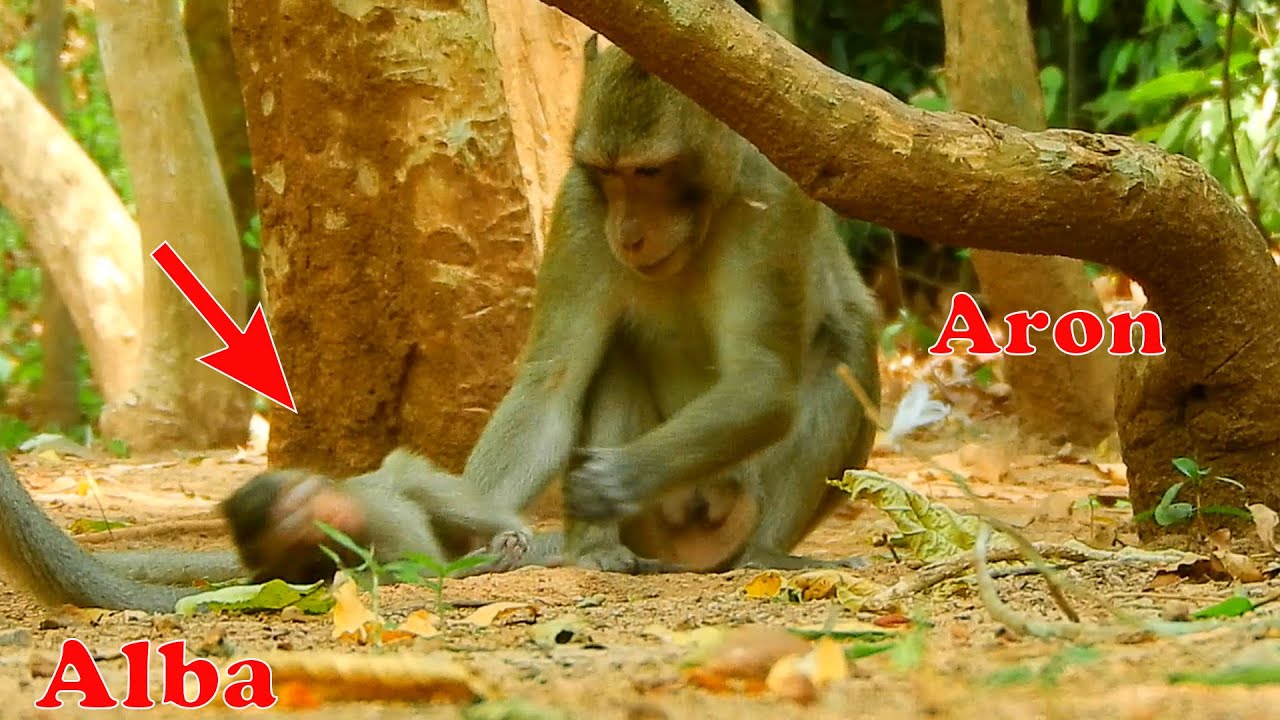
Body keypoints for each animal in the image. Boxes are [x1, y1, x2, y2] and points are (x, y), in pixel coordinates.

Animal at [456, 37, 881, 573]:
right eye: (607, 173)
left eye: (649, 171)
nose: (629, 234)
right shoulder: (581, 208)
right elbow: (549, 388)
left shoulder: (770, 203)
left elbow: (763, 379)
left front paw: (615, 479)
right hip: (655, 522)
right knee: (616, 348)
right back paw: (596, 550)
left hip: (743, 499)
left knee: (848, 338)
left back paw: (767, 554)